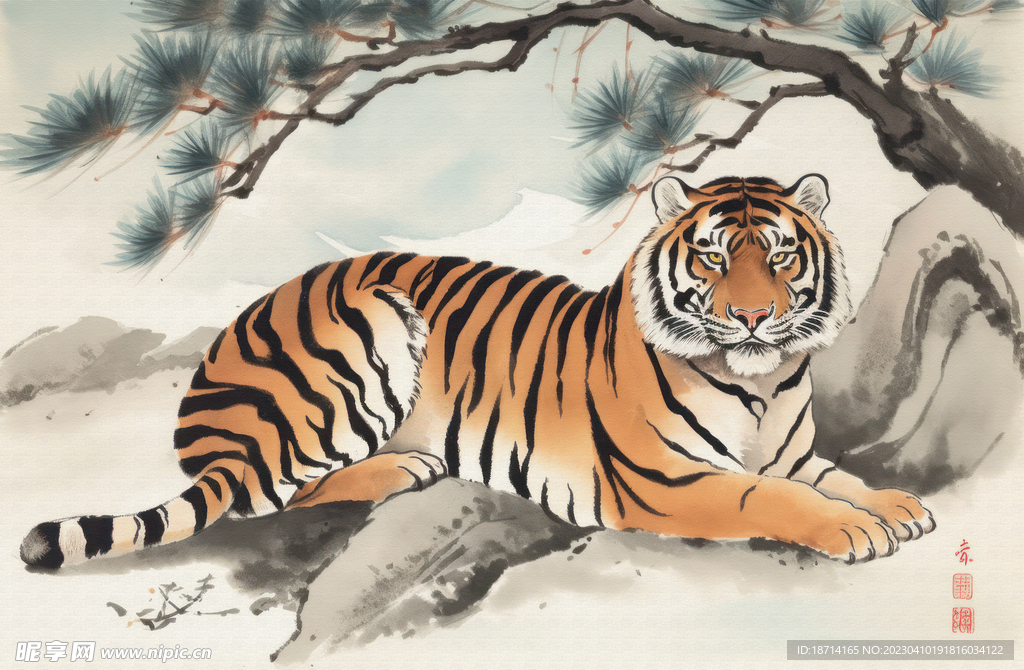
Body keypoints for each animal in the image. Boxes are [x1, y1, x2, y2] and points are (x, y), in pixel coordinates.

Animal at [21, 173, 935, 570]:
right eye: (712, 258)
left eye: (780, 257)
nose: (751, 317)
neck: (759, 381)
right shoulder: (665, 482)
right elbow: (770, 498)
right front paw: (856, 531)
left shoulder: (795, 452)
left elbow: (837, 477)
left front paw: (896, 506)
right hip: (371, 324)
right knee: (270, 493)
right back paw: (404, 467)